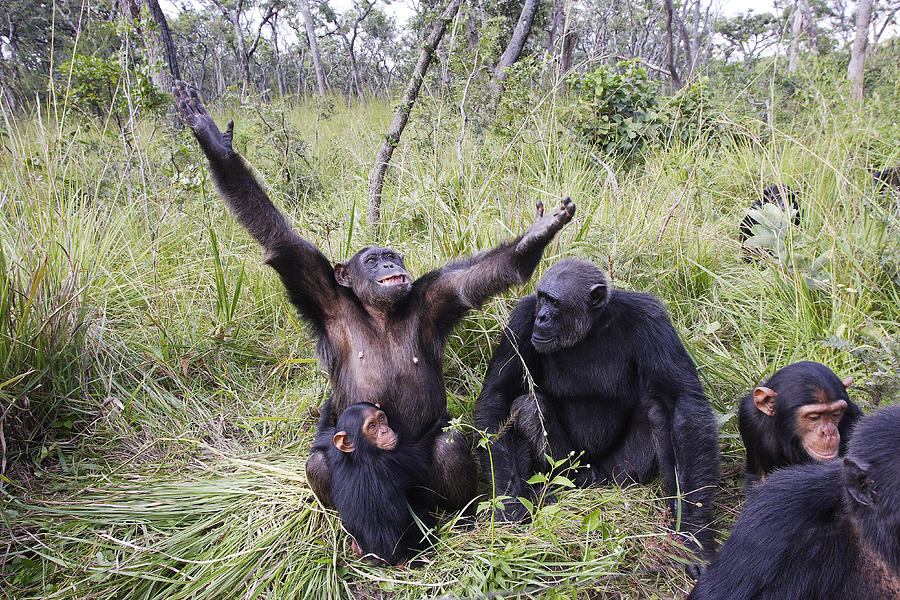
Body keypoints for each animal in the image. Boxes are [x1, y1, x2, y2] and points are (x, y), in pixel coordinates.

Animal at [171, 78, 576, 510]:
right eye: (372, 259)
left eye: (391, 255)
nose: (387, 264)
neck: (379, 312)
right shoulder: (319, 288)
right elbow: (280, 240)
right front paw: (214, 142)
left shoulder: (436, 294)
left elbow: (478, 276)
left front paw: (538, 232)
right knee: (319, 462)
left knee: (448, 444)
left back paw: (454, 513)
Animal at [326, 404, 438, 568]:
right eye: (372, 426)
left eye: (381, 418)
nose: (385, 430)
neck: (359, 455)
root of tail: (378, 558)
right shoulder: (393, 459)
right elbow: (421, 453)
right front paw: (442, 420)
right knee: (424, 517)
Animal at [474, 258, 720, 564]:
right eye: (541, 297)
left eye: (554, 302)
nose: (541, 317)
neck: (591, 327)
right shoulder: (520, 320)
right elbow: (499, 395)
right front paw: (508, 503)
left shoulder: (652, 320)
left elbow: (682, 402)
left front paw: (694, 531)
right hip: (571, 471)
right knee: (528, 406)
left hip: (616, 472)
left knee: (658, 411)